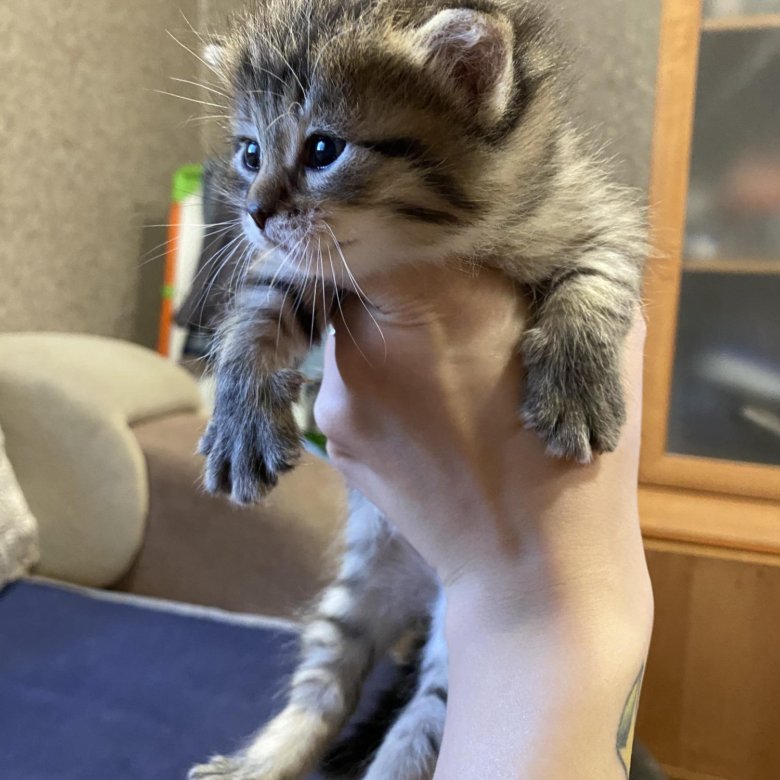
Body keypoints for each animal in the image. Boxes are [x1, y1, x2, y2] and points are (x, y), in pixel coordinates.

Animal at [189, 1, 645, 778]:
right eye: (249, 153)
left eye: (322, 149)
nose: (251, 212)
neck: (432, 245)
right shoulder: (304, 269)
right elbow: (256, 307)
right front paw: (239, 419)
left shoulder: (593, 215)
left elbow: (599, 278)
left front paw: (577, 389)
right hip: (358, 589)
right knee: (327, 685)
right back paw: (258, 762)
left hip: (455, 651)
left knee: (419, 725)